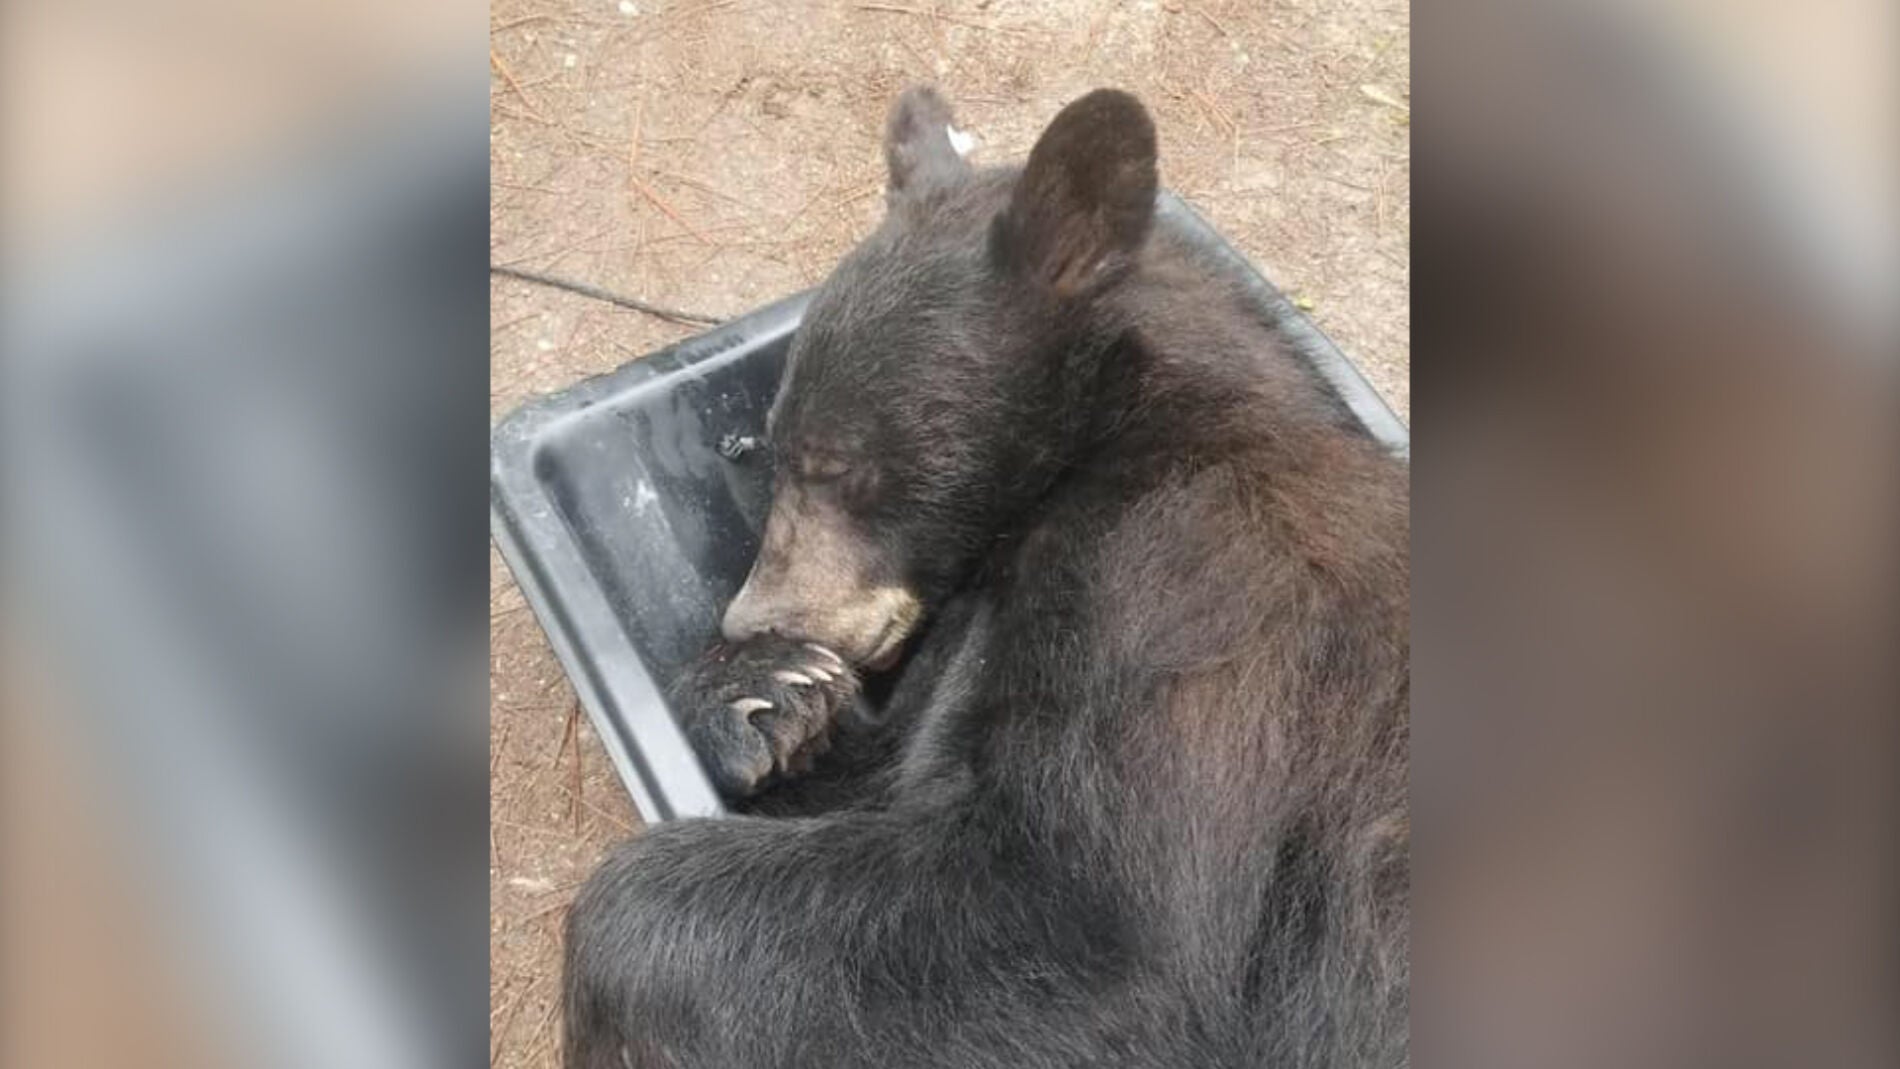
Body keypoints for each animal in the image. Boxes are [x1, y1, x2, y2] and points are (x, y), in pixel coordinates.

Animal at [564, 87, 1409, 1069]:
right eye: (771, 443)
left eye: (836, 462)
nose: (752, 616)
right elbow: (894, 754)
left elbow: (1090, 919)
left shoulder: (1188, 591)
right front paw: (766, 695)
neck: (1106, 435)